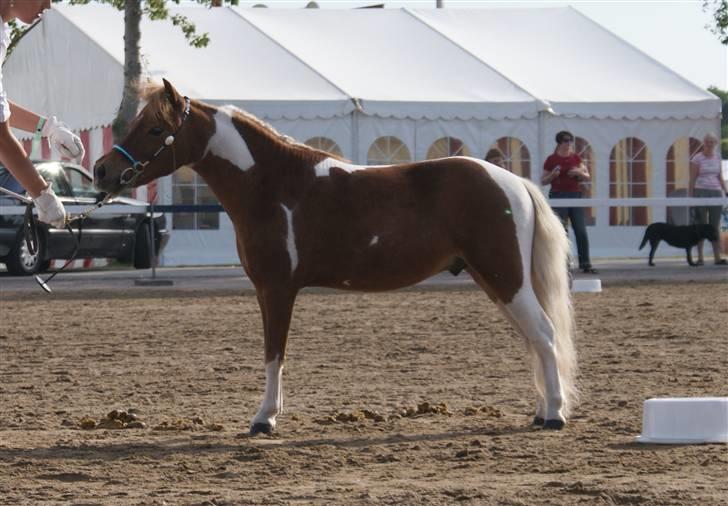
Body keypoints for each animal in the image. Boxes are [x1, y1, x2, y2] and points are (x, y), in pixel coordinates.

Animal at [92, 80, 580, 434]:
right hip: (493, 278)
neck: (273, 184)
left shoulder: (277, 288)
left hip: (506, 277)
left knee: (544, 333)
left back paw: (554, 415)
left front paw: (264, 419)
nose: (101, 171)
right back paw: (541, 411)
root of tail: (513, 182)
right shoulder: (267, 290)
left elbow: (274, 352)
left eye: (155, 129)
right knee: (534, 338)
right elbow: (275, 351)